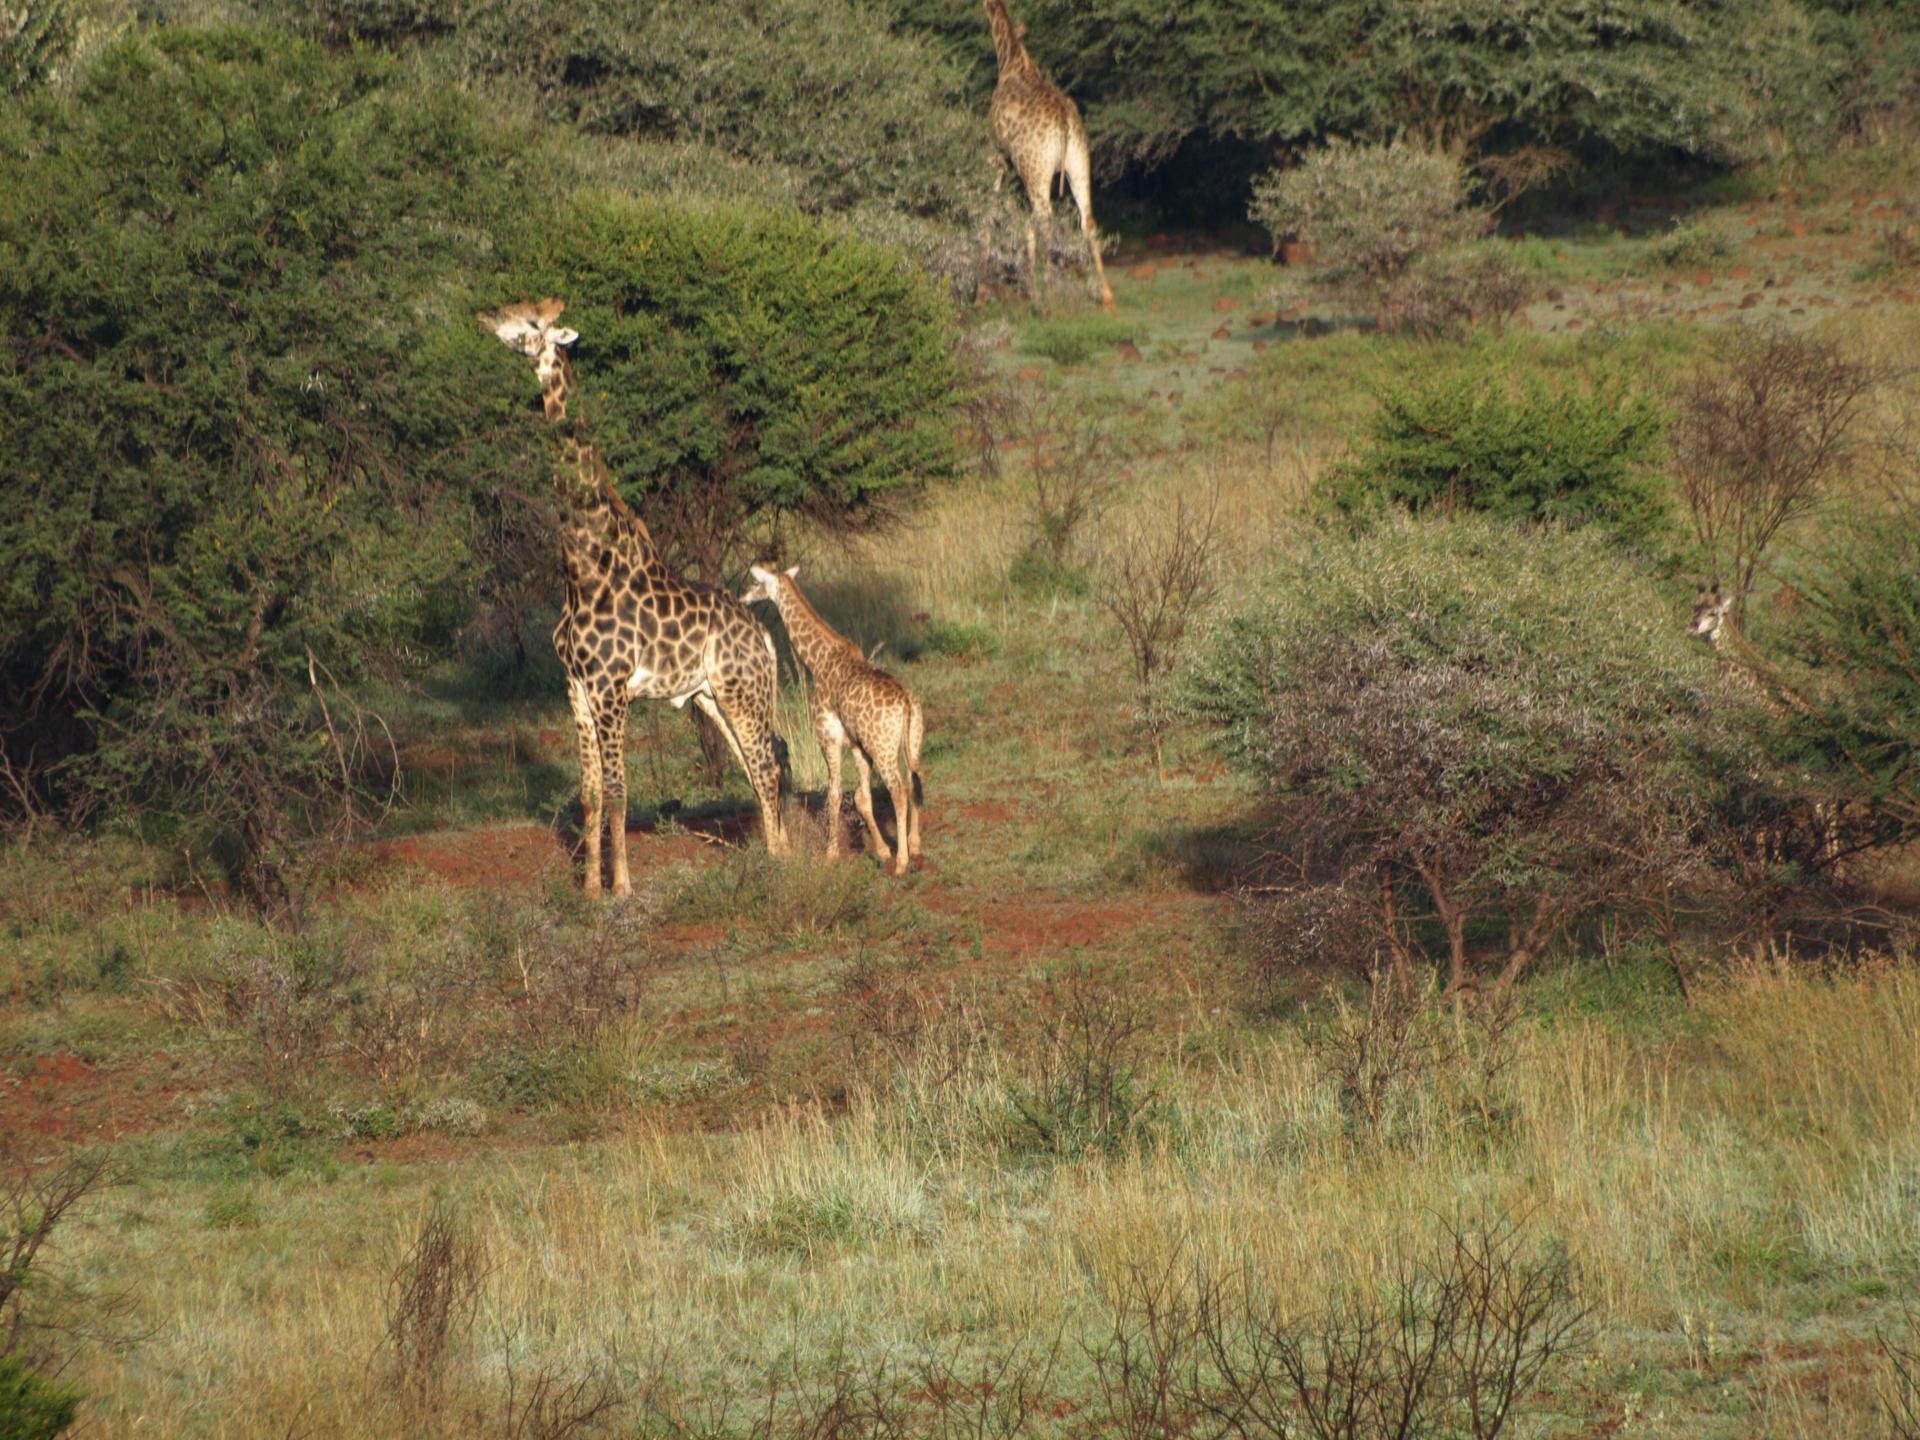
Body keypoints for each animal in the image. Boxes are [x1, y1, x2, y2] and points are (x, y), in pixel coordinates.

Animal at [480, 297, 787, 898]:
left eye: (531, 322)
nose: (485, 319)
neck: (582, 567)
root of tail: (761, 631)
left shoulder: (611, 688)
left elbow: (621, 792)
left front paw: (621, 888)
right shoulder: (576, 690)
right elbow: (591, 795)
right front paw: (588, 891)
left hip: (740, 690)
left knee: (766, 767)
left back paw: (791, 867)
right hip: (713, 696)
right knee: (758, 765)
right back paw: (779, 857)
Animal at [733, 564, 921, 879]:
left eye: (756, 582)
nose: (743, 597)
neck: (819, 659)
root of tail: (907, 703)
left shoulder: (828, 736)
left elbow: (833, 793)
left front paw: (830, 855)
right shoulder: (857, 744)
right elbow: (861, 797)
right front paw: (882, 850)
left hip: (883, 748)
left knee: (899, 790)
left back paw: (902, 862)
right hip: (912, 742)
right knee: (915, 780)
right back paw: (915, 846)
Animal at [983, 0, 1121, 312]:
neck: (1010, 58)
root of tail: (1066, 124)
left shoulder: (999, 157)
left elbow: (992, 211)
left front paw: (983, 291)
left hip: (1037, 169)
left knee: (1045, 221)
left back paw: (1047, 297)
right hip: (1078, 162)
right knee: (1087, 221)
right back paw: (1106, 296)